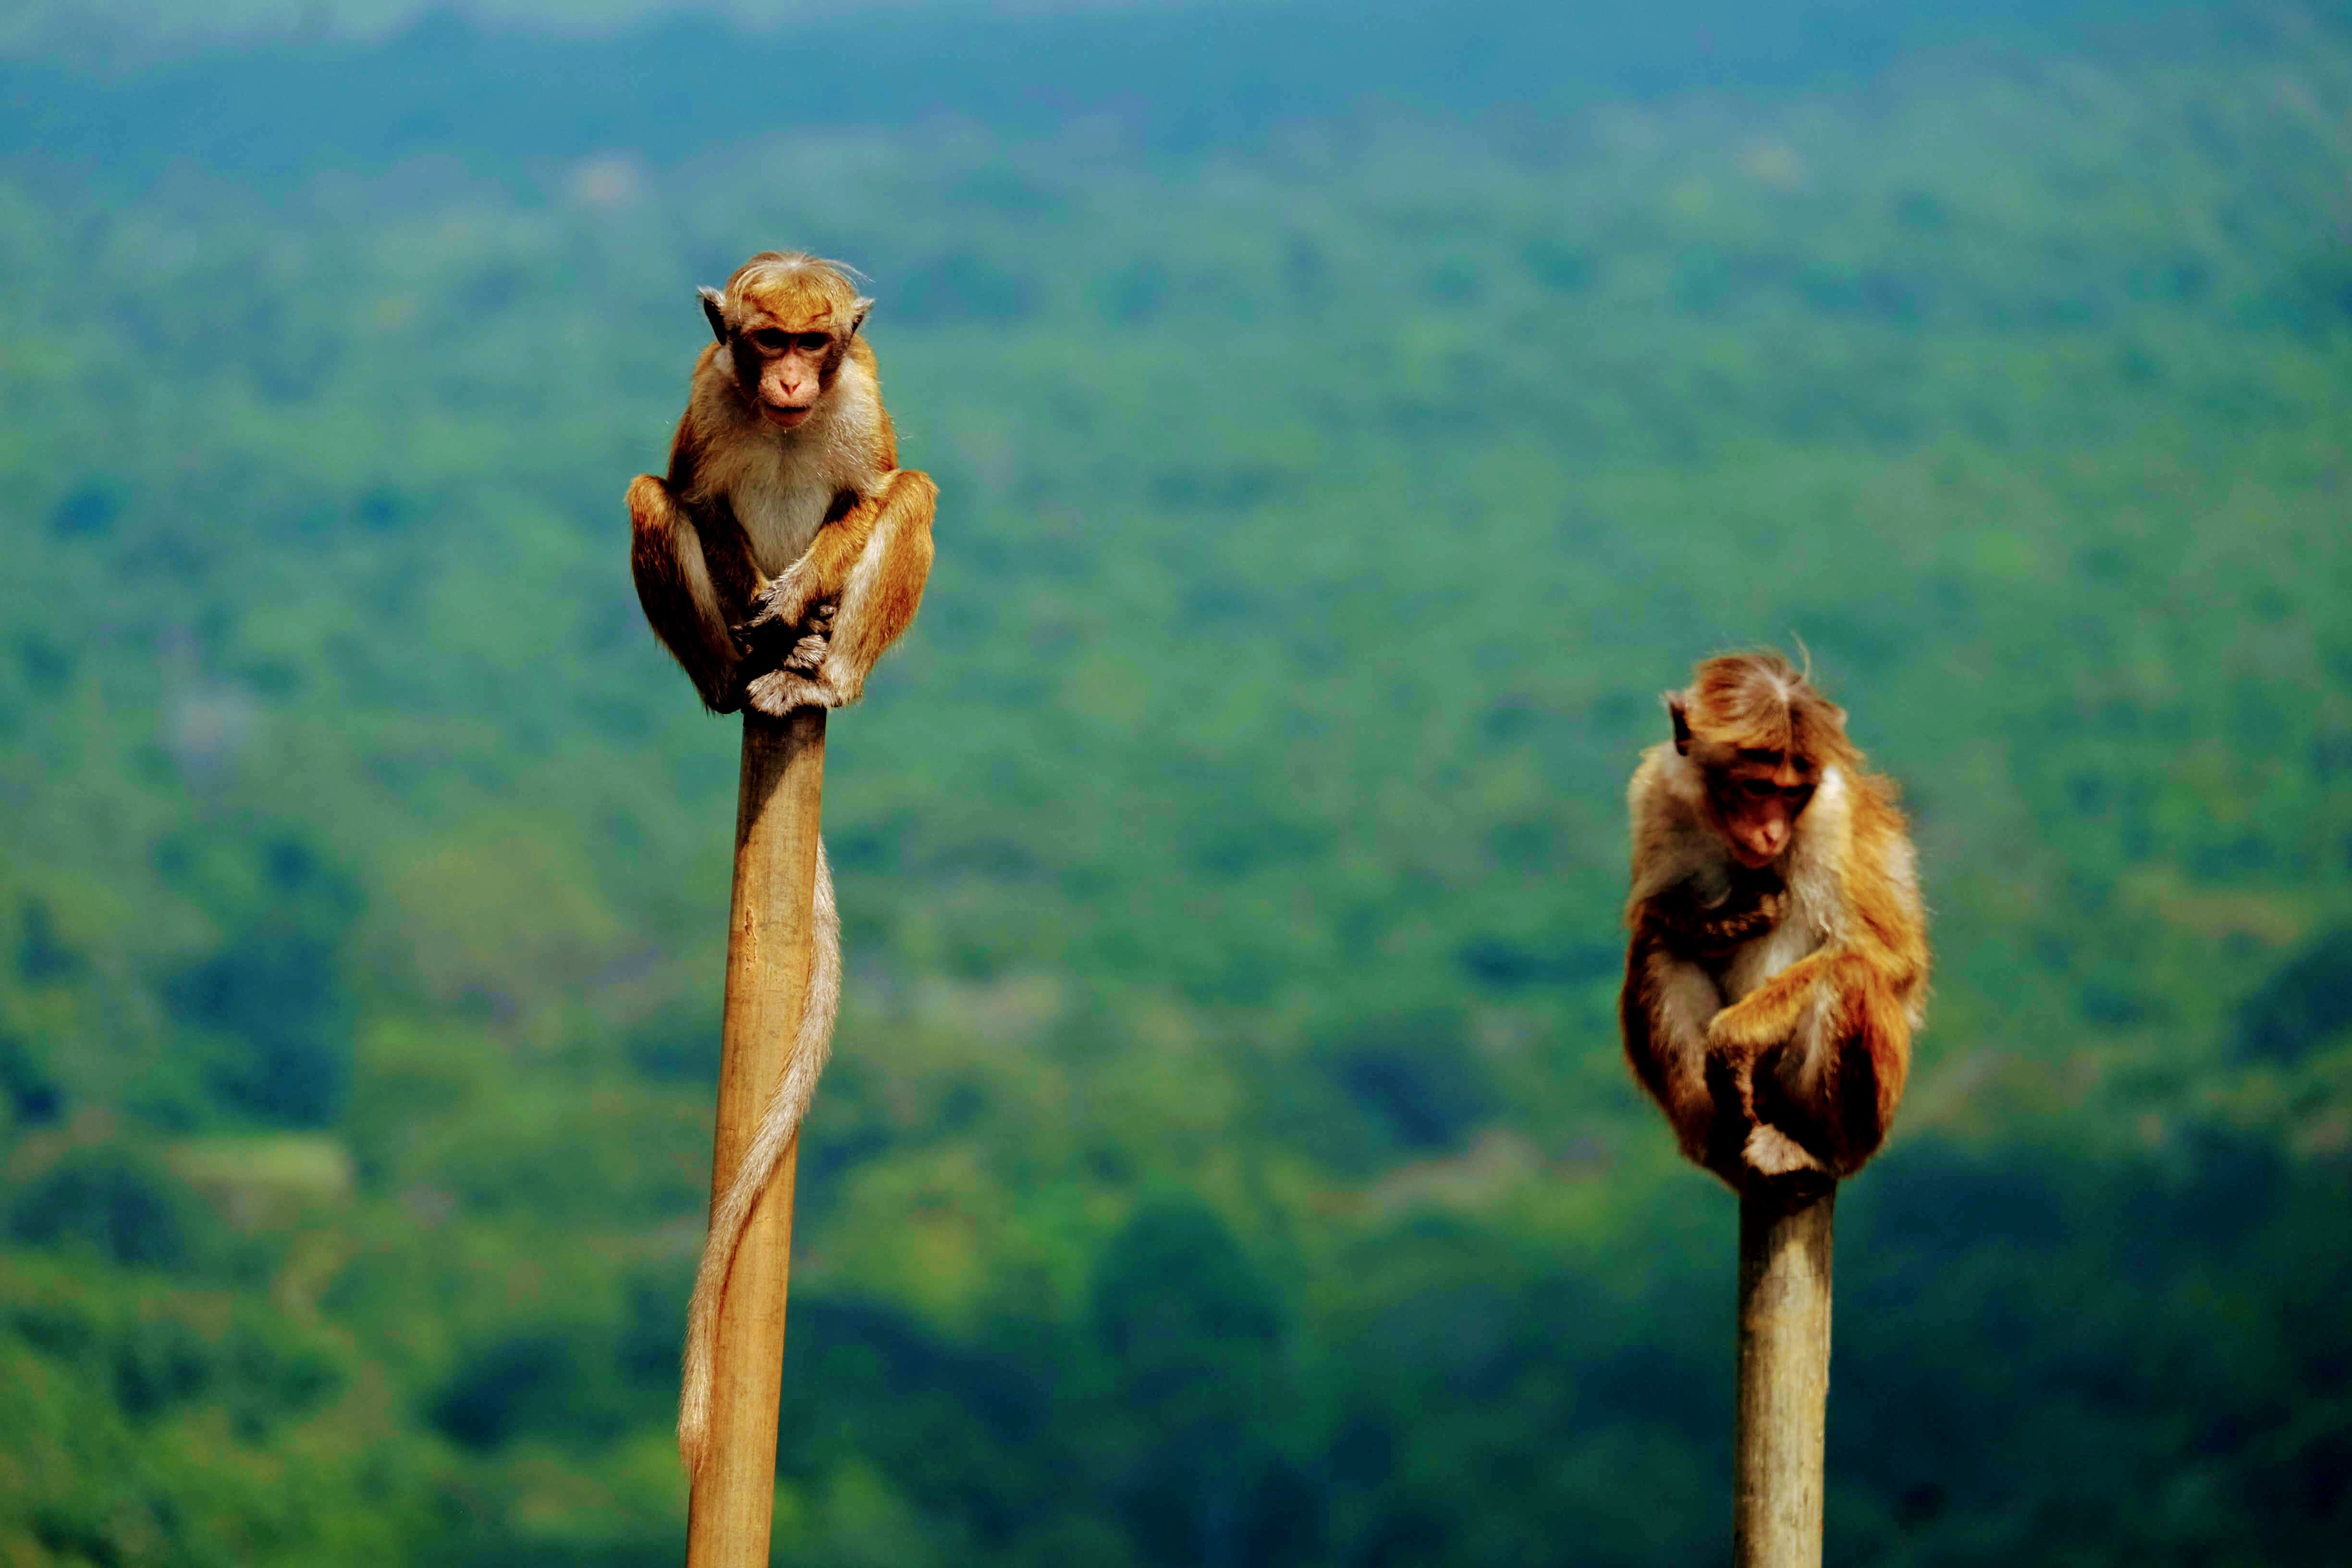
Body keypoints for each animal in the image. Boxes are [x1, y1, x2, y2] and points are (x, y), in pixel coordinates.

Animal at [625, 251, 936, 1476]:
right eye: (764, 343)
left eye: (816, 342)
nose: (796, 381)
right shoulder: (710, 396)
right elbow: (688, 496)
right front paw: (751, 592)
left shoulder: (861, 402)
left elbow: (877, 491)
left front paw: (799, 590)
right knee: (648, 499)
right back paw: (738, 672)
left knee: (915, 495)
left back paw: (814, 670)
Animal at [1618, 658, 1928, 1194]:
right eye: (1758, 788)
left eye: (1793, 793)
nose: (1772, 832)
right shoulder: (1657, 793)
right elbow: (1651, 914)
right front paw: (1732, 918)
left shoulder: (1834, 815)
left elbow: (1890, 956)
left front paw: (1733, 1037)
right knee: (1658, 946)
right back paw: (1718, 1143)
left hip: (1849, 1119)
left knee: (1850, 974)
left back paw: (1813, 1146)